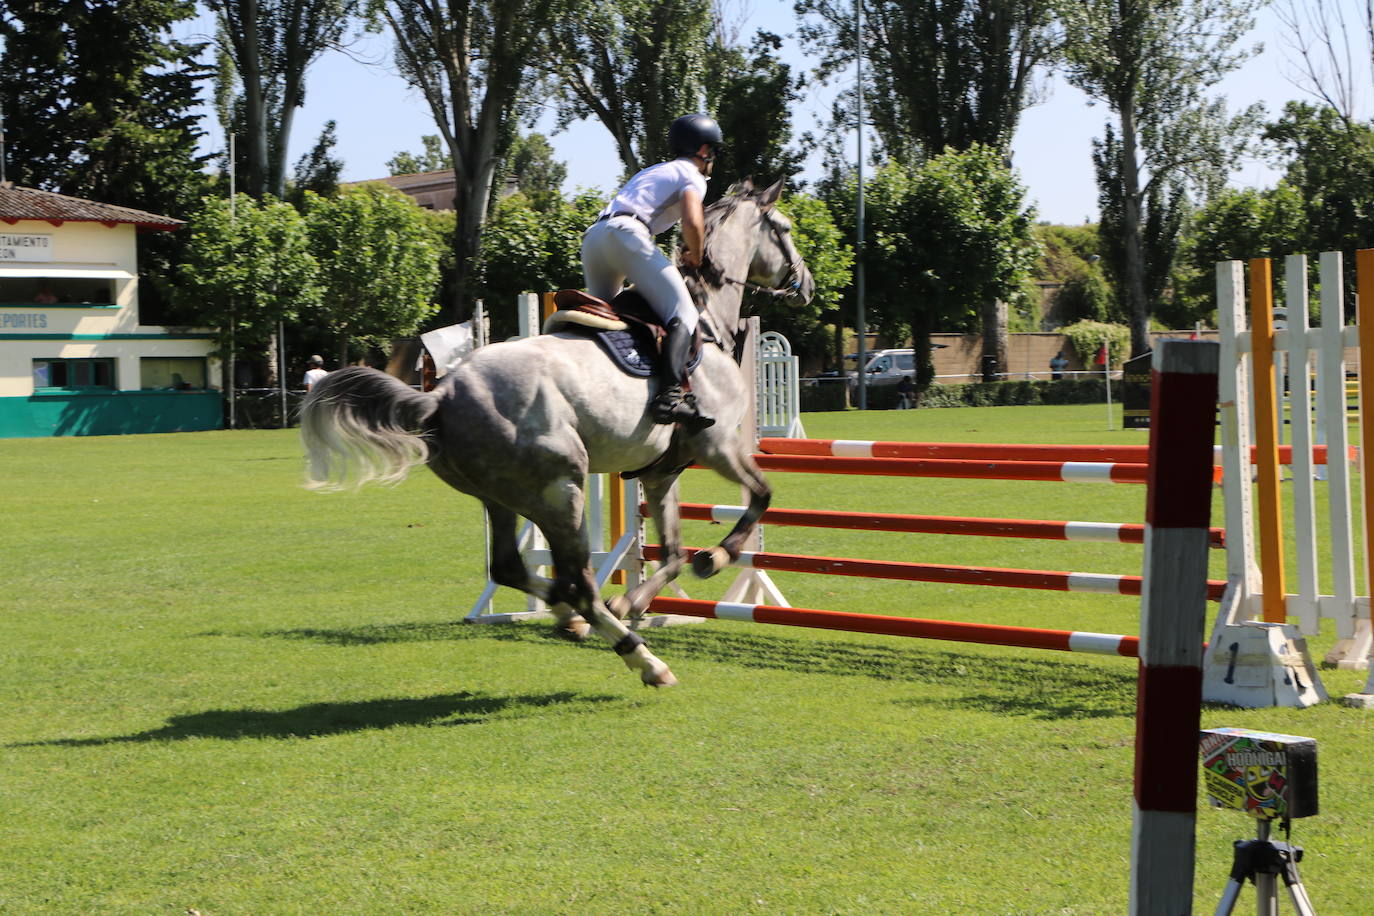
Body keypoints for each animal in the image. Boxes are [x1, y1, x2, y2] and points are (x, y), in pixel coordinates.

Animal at [300, 178, 813, 683]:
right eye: (785, 228)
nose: (805, 285)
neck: (705, 320)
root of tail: (441, 395)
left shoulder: (661, 472)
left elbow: (672, 554)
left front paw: (630, 600)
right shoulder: (717, 444)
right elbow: (761, 496)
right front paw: (717, 557)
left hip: (502, 498)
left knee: (511, 567)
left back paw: (574, 617)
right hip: (564, 487)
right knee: (578, 580)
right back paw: (640, 657)